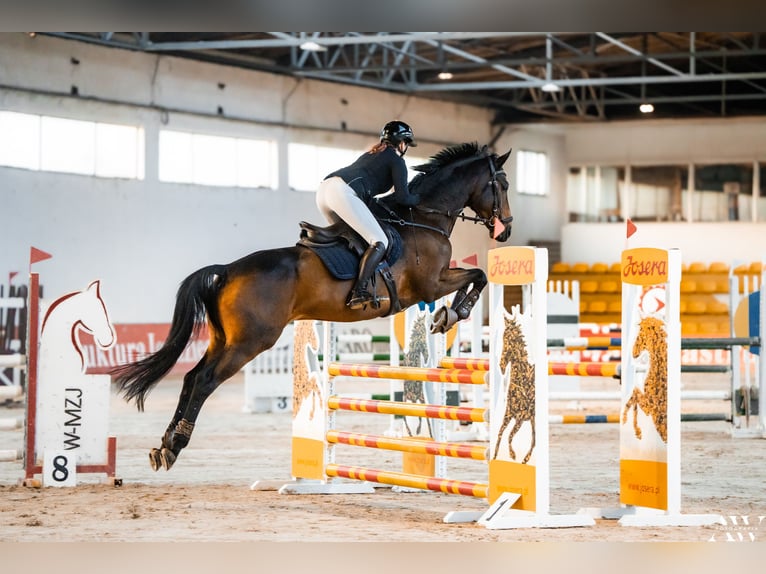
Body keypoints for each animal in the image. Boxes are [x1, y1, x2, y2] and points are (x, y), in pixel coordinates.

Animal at [112, 142, 513, 471]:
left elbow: (476, 275)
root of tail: (226, 270)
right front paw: (451, 314)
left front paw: (449, 314)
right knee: (205, 380)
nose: (506, 229)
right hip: (250, 342)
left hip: (222, 339)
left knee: (191, 377)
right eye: (504, 185)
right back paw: (175, 444)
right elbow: (478, 275)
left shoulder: (433, 283)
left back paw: (164, 445)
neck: (424, 218)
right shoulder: (431, 283)